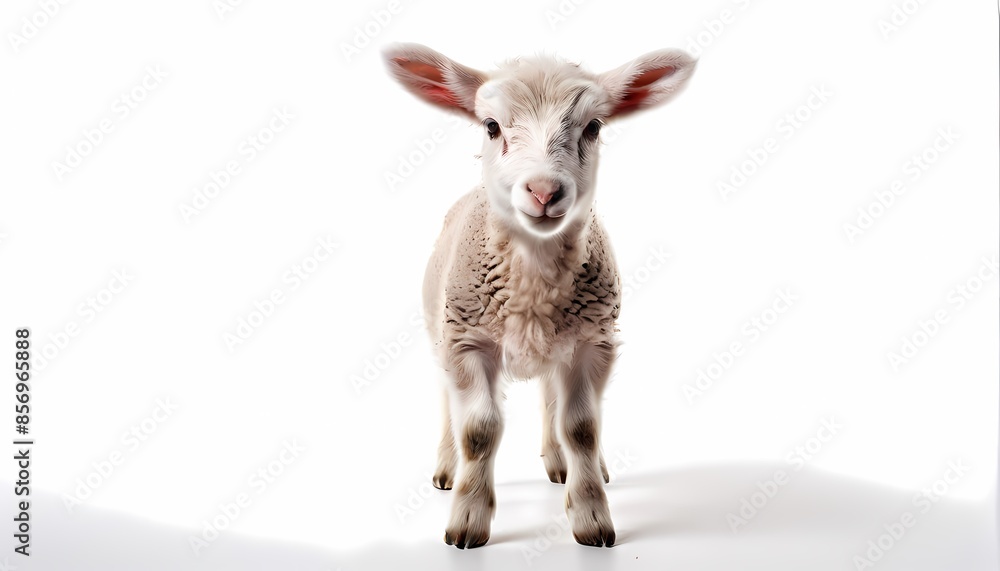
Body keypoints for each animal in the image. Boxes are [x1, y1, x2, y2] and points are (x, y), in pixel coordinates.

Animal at [382, 43, 696, 549]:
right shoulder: (466, 341)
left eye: (594, 127)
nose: (544, 191)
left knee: (554, 400)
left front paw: (592, 517)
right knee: (449, 404)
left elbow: (581, 427)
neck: (533, 281)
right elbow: (479, 429)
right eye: (491, 126)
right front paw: (467, 521)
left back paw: (567, 463)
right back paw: (448, 468)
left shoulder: (593, 342)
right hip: (439, 330)